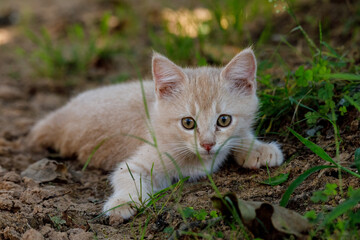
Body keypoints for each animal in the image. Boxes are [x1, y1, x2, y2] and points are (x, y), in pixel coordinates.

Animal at [28, 47, 282, 222]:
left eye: (224, 120)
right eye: (188, 123)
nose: (208, 144)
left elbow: (240, 134)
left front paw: (258, 149)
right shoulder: (138, 162)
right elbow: (128, 178)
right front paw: (122, 203)